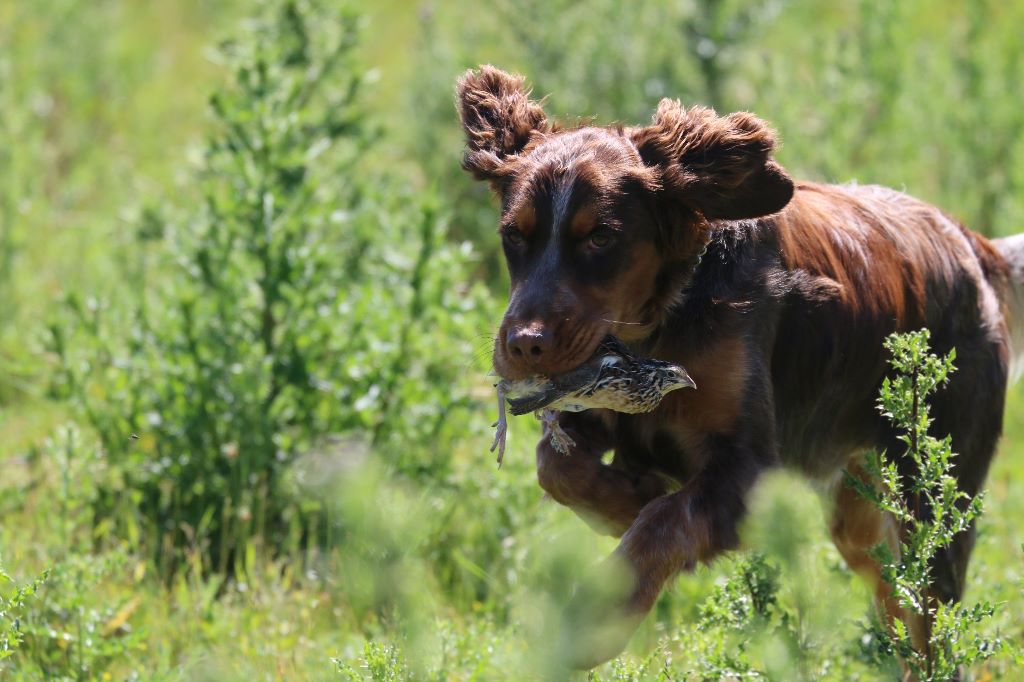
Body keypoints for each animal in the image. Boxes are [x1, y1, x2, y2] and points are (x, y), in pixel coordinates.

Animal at [456, 65, 1024, 667]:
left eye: (602, 237)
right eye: (513, 235)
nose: (524, 345)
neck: (660, 327)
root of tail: (974, 248)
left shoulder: (751, 469)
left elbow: (663, 522)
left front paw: (597, 618)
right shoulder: (597, 404)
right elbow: (557, 467)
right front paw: (629, 497)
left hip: (931, 501)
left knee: (929, 622)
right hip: (862, 517)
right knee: (897, 604)